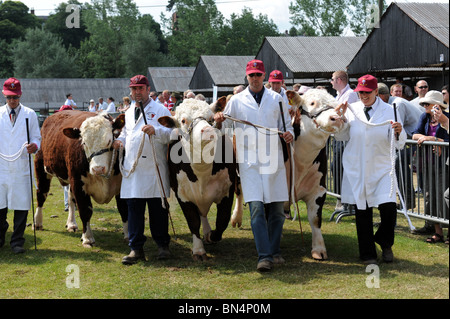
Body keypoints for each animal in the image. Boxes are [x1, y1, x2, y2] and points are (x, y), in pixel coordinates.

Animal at [33, 110, 126, 248]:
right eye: (84, 143)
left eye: (110, 141)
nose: (98, 169)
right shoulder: (78, 183)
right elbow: (85, 210)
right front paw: (87, 237)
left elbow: (124, 209)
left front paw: (128, 234)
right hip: (42, 169)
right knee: (41, 194)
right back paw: (37, 222)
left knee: (70, 199)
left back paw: (71, 223)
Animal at [158, 99, 239, 262]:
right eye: (183, 120)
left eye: (211, 118)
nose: (207, 131)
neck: (202, 170)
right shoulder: (182, 195)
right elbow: (193, 222)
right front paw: (198, 250)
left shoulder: (227, 191)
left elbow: (222, 220)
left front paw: (211, 236)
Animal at [230, 89, 346, 262]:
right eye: (312, 103)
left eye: (336, 105)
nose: (336, 118)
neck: (300, 161)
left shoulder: (319, 190)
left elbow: (315, 219)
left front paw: (319, 249)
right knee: (239, 192)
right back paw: (236, 217)